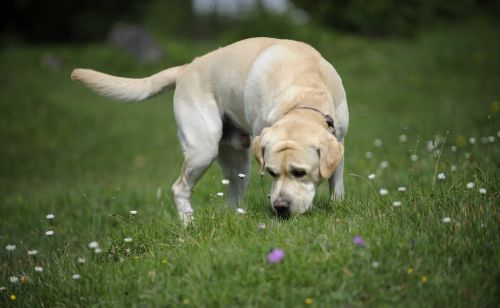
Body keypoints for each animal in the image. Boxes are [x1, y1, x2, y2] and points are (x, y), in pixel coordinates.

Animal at [71, 38, 348, 224]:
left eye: (299, 172)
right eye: (270, 172)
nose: (280, 207)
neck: (304, 90)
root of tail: (185, 68)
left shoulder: (339, 140)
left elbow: (336, 181)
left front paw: (337, 206)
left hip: (238, 158)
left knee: (233, 196)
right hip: (203, 149)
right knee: (180, 188)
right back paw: (189, 224)